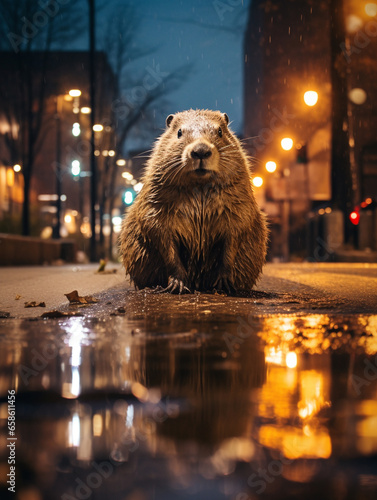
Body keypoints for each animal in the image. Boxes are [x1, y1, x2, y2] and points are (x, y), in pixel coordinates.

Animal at [119, 106, 266, 292]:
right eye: (179, 132)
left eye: (220, 131)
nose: (201, 151)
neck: (199, 186)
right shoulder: (155, 204)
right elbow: (161, 235)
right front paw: (178, 285)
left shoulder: (240, 204)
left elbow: (234, 235)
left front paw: (224, 283)